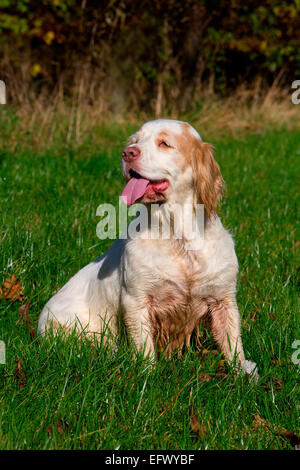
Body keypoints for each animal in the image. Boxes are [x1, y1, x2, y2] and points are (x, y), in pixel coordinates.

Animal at [37, 119, 258, 376]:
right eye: (135, 140)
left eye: (164, 143)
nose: (127, 153)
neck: (177, 237)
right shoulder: (136, 300)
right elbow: (144, 346)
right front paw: (147, 375)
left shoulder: (223, 299)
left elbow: (233, 344)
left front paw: (243, 372)